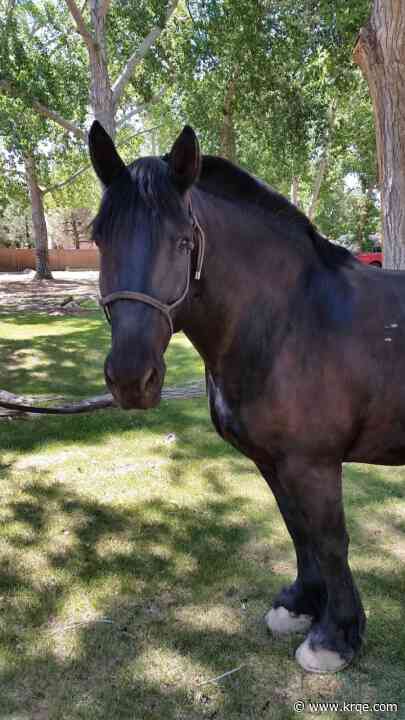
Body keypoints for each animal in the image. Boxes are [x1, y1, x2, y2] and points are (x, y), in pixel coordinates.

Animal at [89, 120, 405, 674]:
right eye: (99, 239)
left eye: (182, 242)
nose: (131, 378)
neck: (290, 321)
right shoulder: (271, 459)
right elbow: (298, 528)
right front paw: (300, 605)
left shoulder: (313, 462)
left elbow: (331, 539)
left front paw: (335, 637)